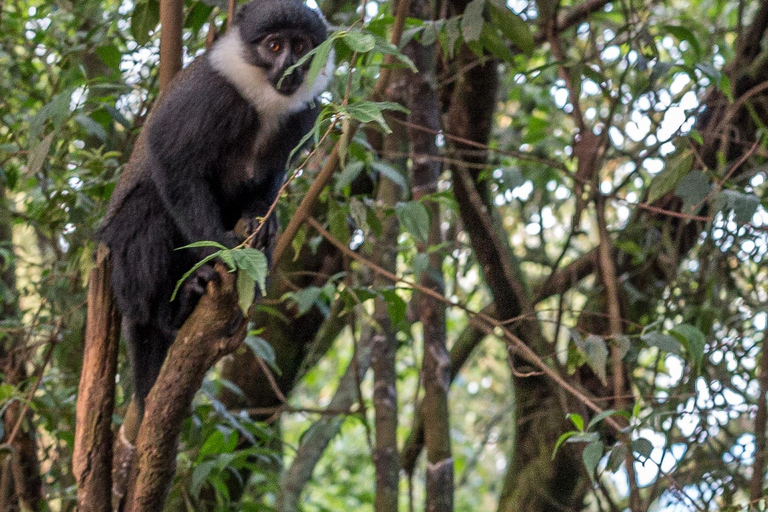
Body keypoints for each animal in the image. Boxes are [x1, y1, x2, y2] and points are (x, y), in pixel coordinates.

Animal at [97, 0, 334, 418]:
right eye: (274, 46)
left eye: (301, 45)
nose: (290, 67)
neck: (260, 99)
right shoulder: (211, 97)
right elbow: (172, 162)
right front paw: (219, 247)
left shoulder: (302, 116)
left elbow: (270, 178)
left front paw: (261, 222)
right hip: (125, 266)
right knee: (150, 208)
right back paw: (173, 312)